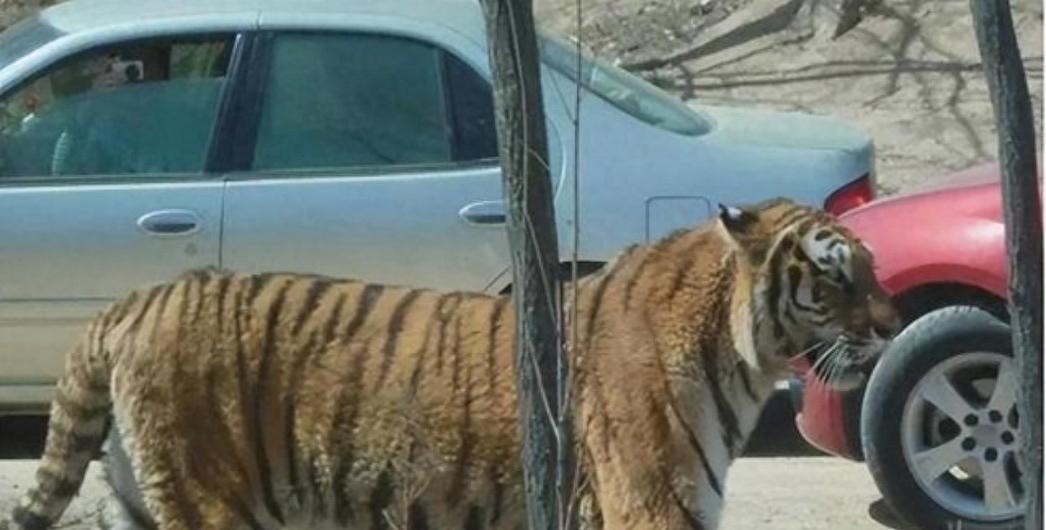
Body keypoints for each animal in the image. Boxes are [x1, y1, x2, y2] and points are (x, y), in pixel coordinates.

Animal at [9, 197, 898, 530]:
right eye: (836, 276)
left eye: (873, 268)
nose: (895, 326)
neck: (739, 357)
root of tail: (130, 303)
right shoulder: (653, 506)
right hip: (213, 504)